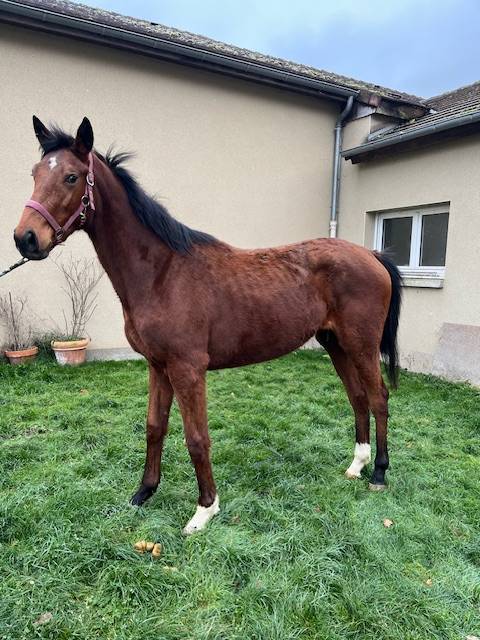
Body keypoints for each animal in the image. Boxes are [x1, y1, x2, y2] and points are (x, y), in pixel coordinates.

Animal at [14, 117, 402, 534]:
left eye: (71, 177)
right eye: (35, 174)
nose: (25, 238)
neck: (162, 273)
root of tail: (372, 255)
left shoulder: (187, 369)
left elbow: (197, 438)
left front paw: (204, 510)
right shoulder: (158, 366)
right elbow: (154, 427)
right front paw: (143, 493)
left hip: (361, 344)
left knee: (378, 397)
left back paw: (379, 473)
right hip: (336, 344)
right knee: (358, 397)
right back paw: (357, 465)